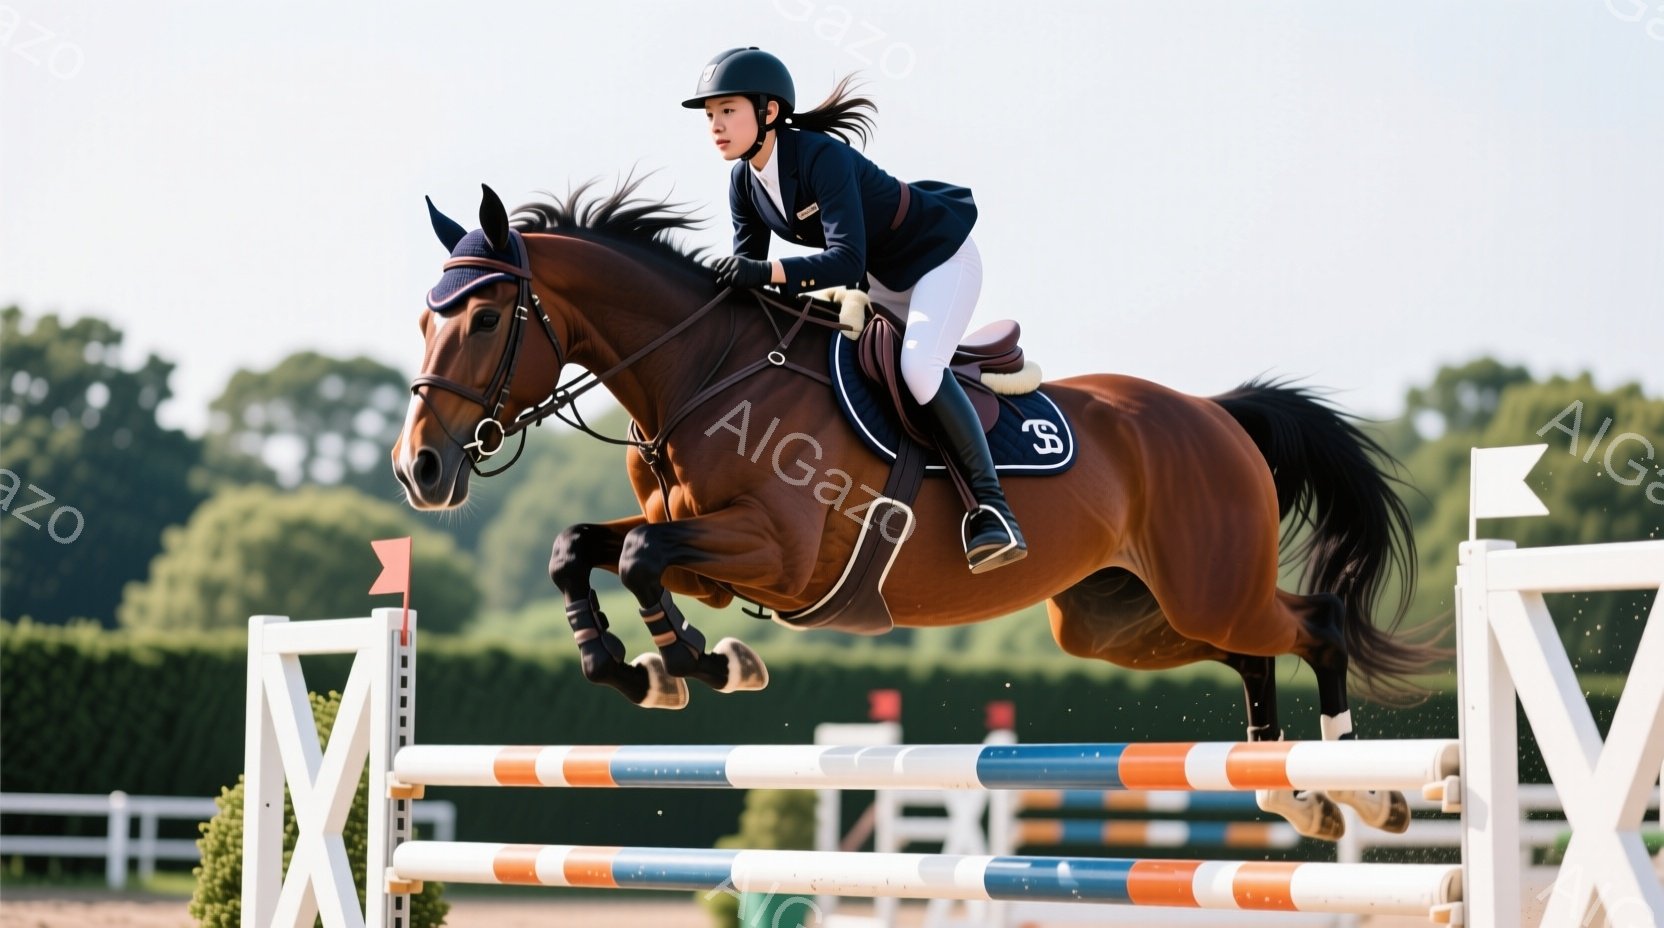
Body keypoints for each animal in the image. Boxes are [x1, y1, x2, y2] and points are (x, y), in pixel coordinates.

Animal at [392, 181, 1438, 841]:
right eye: (427, 316)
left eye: (486, 318)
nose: (420, 471)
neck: (703, 373)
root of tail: (1215, 412)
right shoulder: (715, 557)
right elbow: (584, 547)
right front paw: (637, 667)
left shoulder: (777, 554)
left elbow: (645, 555)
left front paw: (700, 662)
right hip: (1115, 619)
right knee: (1254, 653)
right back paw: (1296, 798)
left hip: (1204, 586)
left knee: (1319, 625)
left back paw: (1365, 792)